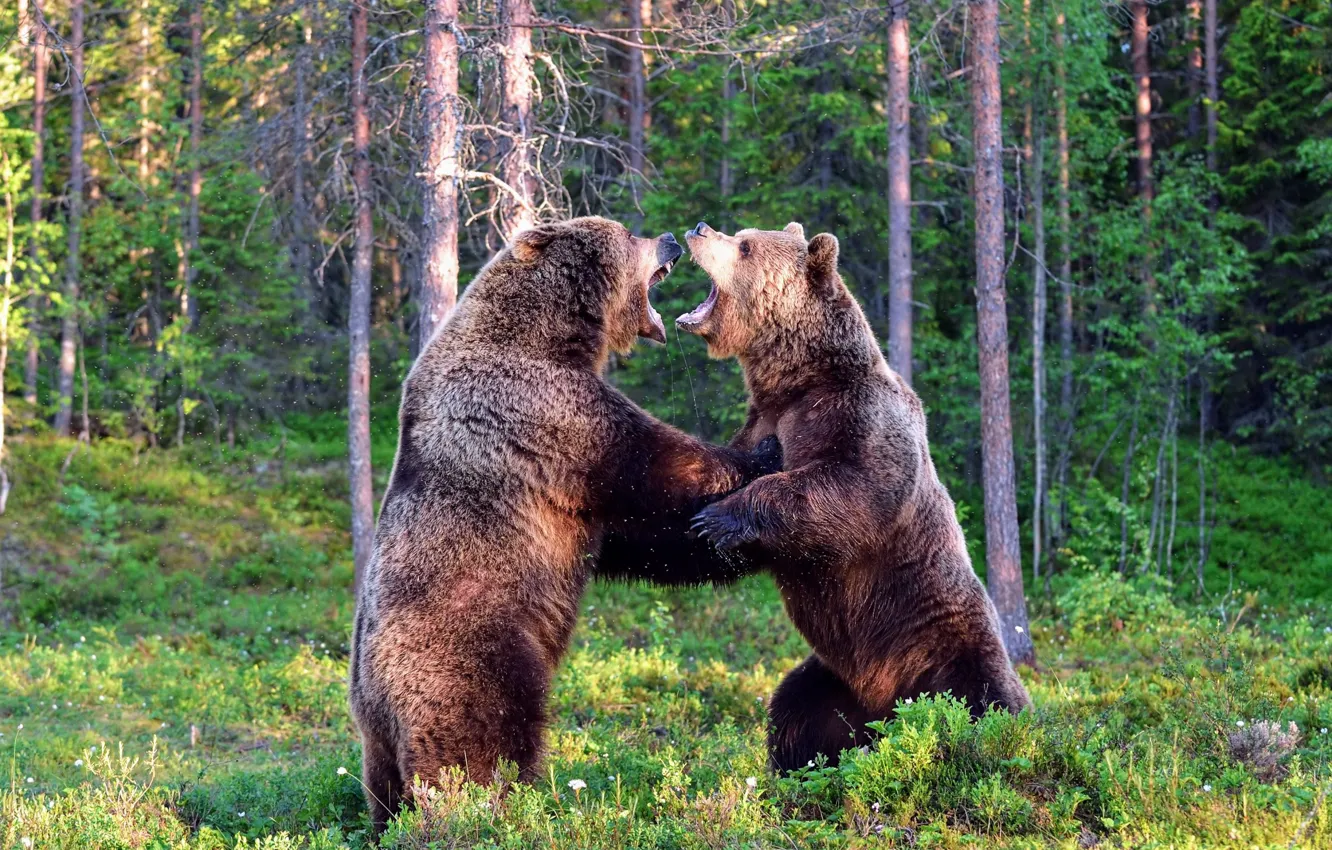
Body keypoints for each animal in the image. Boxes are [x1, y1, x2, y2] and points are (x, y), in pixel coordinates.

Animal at [349, 216, 781, 832]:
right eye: (627, 233)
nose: (671, 237)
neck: (552, 332)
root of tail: (374, 699)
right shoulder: (543, 409)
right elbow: (652, 461)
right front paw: (762, 454)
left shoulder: (580, 502)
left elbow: (645, 536)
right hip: (469, 652)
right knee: (480, 743)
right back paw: (492, 812)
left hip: (378, 742)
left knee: (385, 790)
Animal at [677, 220, 1032, 772]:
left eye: (744, 244)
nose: (698, 228)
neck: (797, 382)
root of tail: (885, 707)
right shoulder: (763, 424)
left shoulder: (860, 419)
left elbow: (853, 489)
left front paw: (721, 517)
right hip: (833, 680)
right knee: (794, 709)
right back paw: (797, 768)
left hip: (944, 648)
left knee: (984, 701)